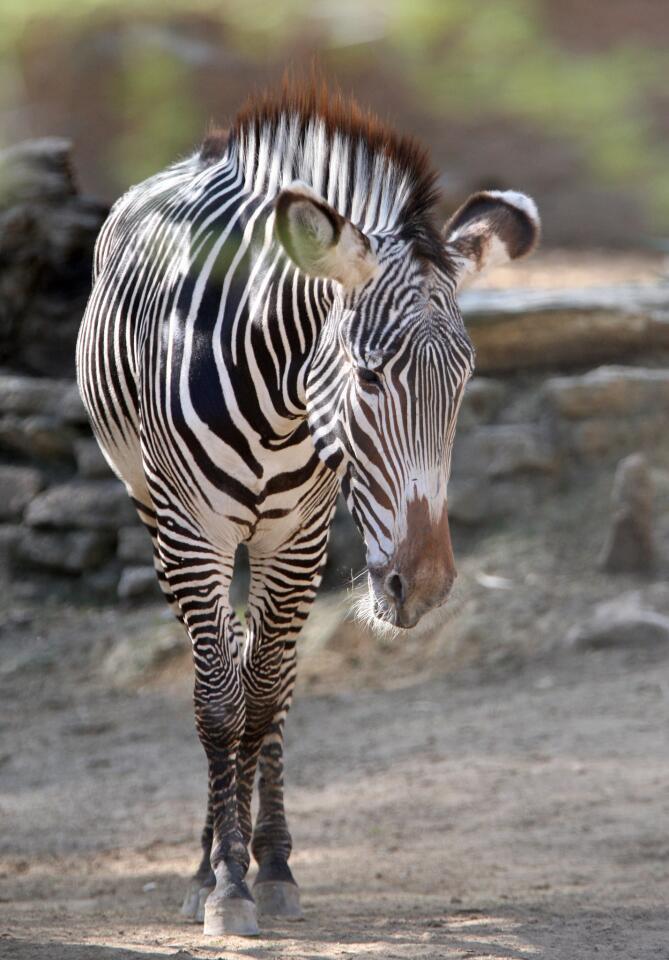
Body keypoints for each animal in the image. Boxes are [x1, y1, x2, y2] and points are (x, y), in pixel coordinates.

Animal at [75, 82, 540, 936]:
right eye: (367, 375)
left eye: (462, 382)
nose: (423, 587)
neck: (280, 401)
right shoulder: (192, 531)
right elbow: (218, 704)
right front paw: (225, 882)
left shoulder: (300, 537)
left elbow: (263, 696)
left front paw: (268, 867)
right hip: (158, 517)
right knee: (215, 665)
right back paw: (205, 863)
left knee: (268, 670)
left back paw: (265, 855)